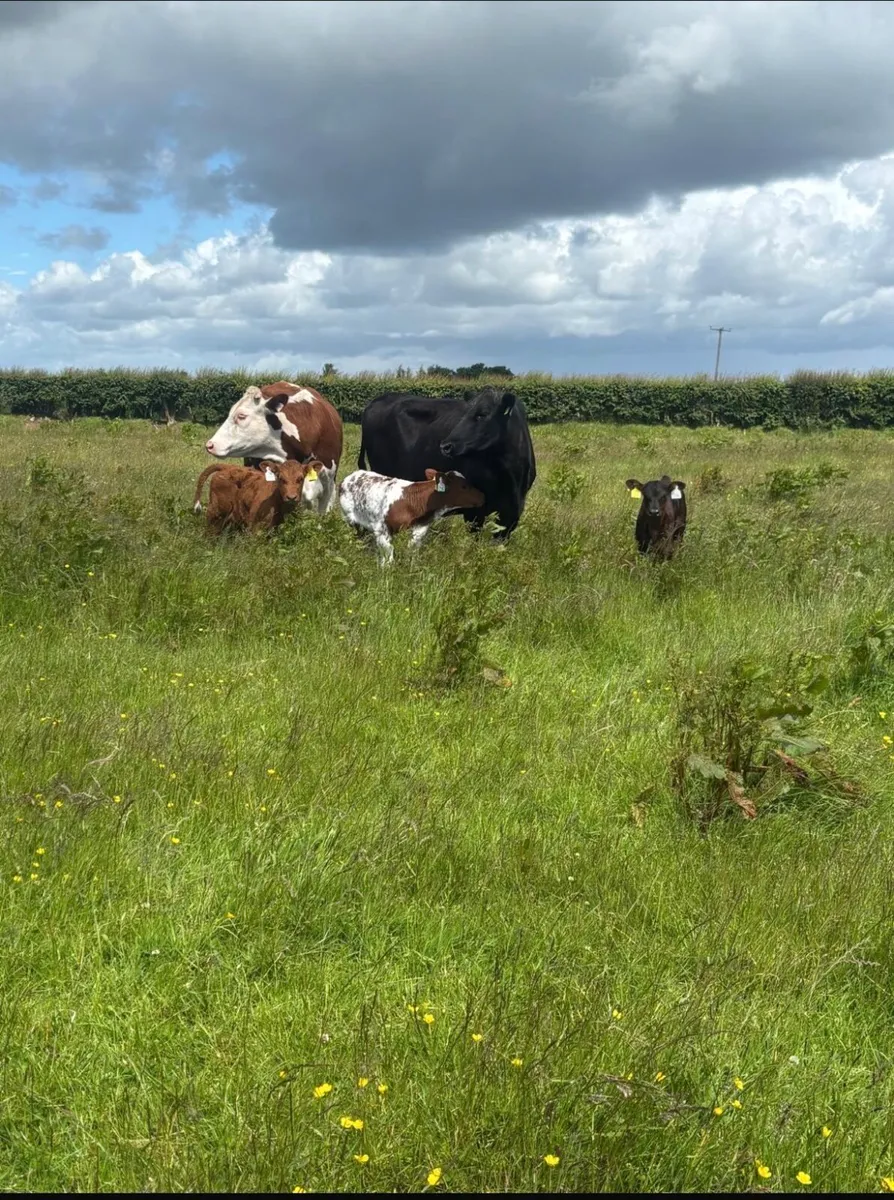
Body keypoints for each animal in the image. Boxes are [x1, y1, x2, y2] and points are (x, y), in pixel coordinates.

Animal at [339, 468, 485, 565]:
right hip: (350, 519)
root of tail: (351, 476)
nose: (482, 496)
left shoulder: (420, 529)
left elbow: (412, 552)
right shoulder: (381, 529)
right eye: (464, 486)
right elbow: (389, 554)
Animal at [356, 386, 536, 541]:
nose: (445, 445)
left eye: (482, 414)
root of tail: (379, 399)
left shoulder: (513, 513)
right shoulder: (473, 511)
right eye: (464, 414)